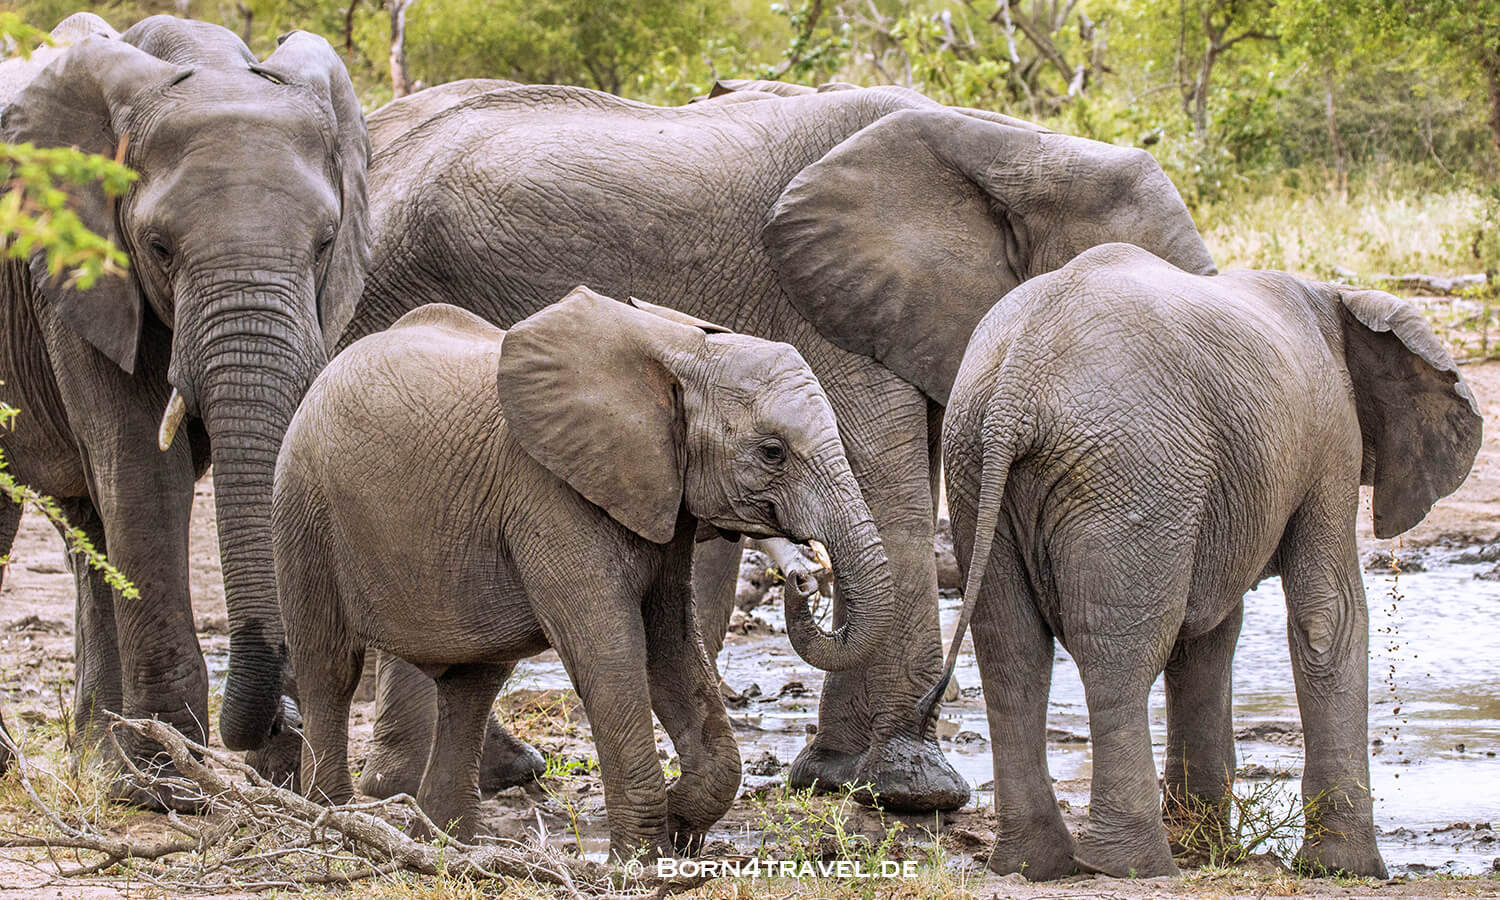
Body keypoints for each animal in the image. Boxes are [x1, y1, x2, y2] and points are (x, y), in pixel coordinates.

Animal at [0, 14, 368, 802]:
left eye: (325, 243)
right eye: (159, 247)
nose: (280, 721)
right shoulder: (78, 276)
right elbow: (142, 468)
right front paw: (169, 786)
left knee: (86, 526)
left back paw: (100, 760)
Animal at [270, 288, 895, 854]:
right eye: (772, 452)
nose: (801, 579)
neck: (682, 349)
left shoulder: (660, 499)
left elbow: (671, 647)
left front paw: (678, 825)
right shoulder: (549, 494)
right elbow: (611, 651)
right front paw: (641, 861)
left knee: (471, 686)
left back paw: (449, 844)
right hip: (304, 507)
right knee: (329, 667)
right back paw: (334, 823)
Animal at [292, 81, 1215, 814]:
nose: (800, 584)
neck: (1020, 148)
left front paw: (840, 777)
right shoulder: (829, 304)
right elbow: (891, 498)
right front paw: (914, 791)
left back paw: (489, 775)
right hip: (382, 294)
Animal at [932, 242, 1481, 879]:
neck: (1341, 299)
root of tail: (1017, 381)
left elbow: (1209, 633)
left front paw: (1210, 846)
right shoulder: (1331, 439)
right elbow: (1328, 614)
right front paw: (1347, 871)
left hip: (975, 465)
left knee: (1012, 650)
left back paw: (1033, 865)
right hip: (1132, 471)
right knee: (1117, 654)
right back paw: (1134, 867)